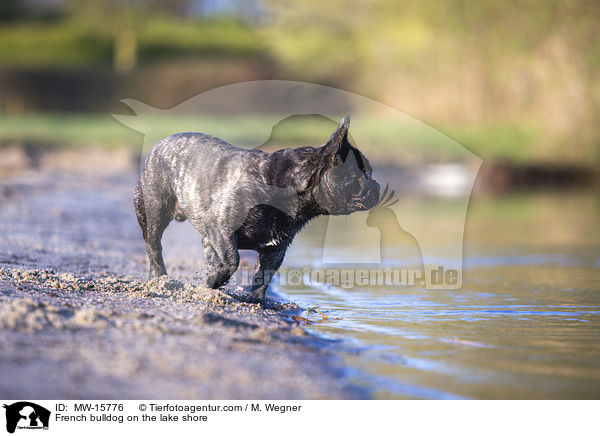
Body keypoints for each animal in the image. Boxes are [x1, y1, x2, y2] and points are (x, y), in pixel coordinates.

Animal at [135, 116, 380, 304]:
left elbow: (264, 276)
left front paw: (255, 300)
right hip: (152, 210)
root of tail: (160, 144)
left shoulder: (276, 249)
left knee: (208, 251)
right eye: (365, 174)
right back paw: (160, 278)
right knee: (154, 245)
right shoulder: (221, 229)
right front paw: (214, 283)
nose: (377, 185)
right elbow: (232, 260)